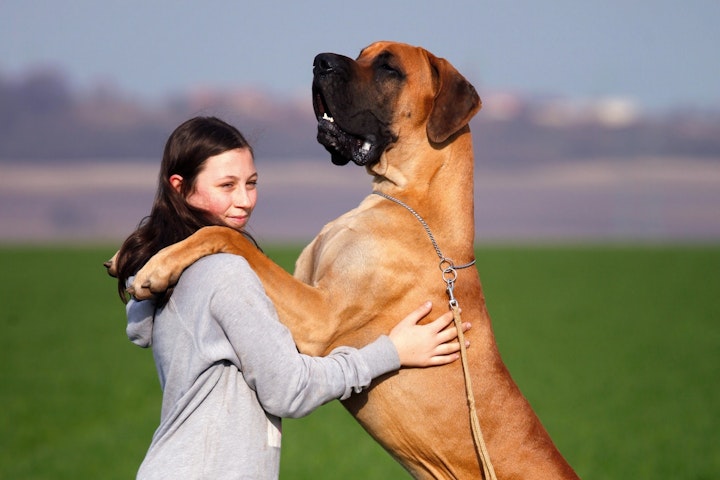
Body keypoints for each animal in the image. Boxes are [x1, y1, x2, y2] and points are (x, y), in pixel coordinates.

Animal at [119, 43, 580, 478]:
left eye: (389, 67)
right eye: (360, 53)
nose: (319, 61)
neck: (409, 201)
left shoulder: (319, 319)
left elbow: (227, 235)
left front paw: (154, 267)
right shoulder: (303, 288)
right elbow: (235, 241)